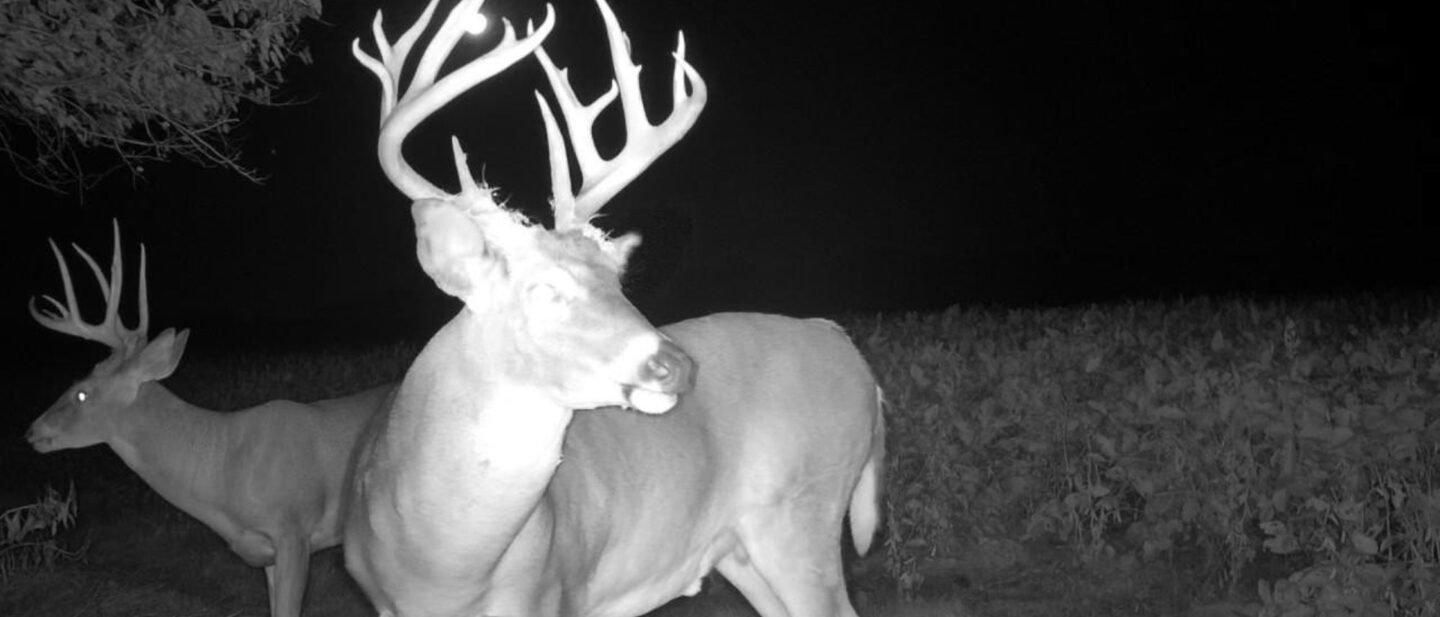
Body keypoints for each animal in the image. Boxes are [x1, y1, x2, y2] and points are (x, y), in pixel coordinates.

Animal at [343, 0, 886, 616]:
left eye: (619, 283)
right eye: (543, 289)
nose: (677, 365)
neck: (441, 566)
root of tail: (849, 352)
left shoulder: (557, 592)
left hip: (803, 509)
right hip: (740, 547)